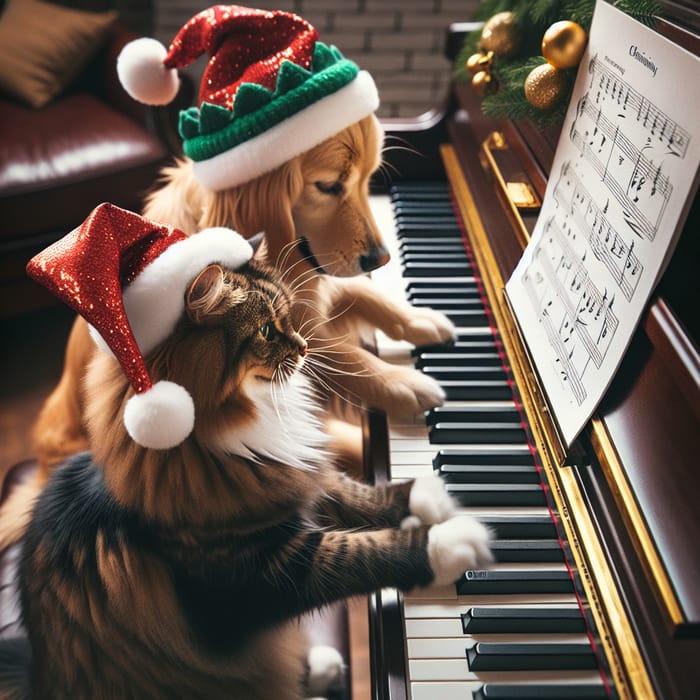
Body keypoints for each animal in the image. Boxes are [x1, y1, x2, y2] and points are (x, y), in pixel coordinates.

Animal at [0, 258, 492, 700]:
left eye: (289, 320)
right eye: (267, 331)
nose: (306, 347)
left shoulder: (288, 476)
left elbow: (357, 493)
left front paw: (430, 494)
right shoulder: (264, 567)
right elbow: (361, 551)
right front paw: (452, 541)